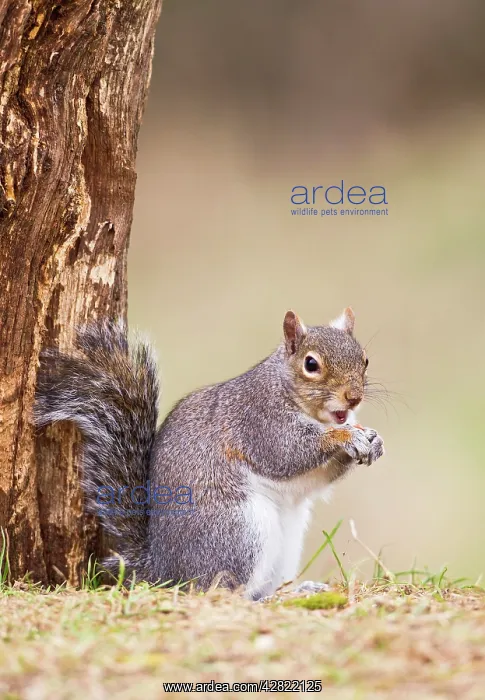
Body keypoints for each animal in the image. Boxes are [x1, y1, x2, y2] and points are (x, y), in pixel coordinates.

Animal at [34, 307, 384, 600]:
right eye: (311, 364)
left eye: (365, 359)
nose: (353, 397)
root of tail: (163, 571)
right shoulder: (258, 421)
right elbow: (288, 452)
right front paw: (344, 437)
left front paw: (373, 440)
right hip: (239, 530)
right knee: (222, 592)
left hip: (285, 542)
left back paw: (298, 589)